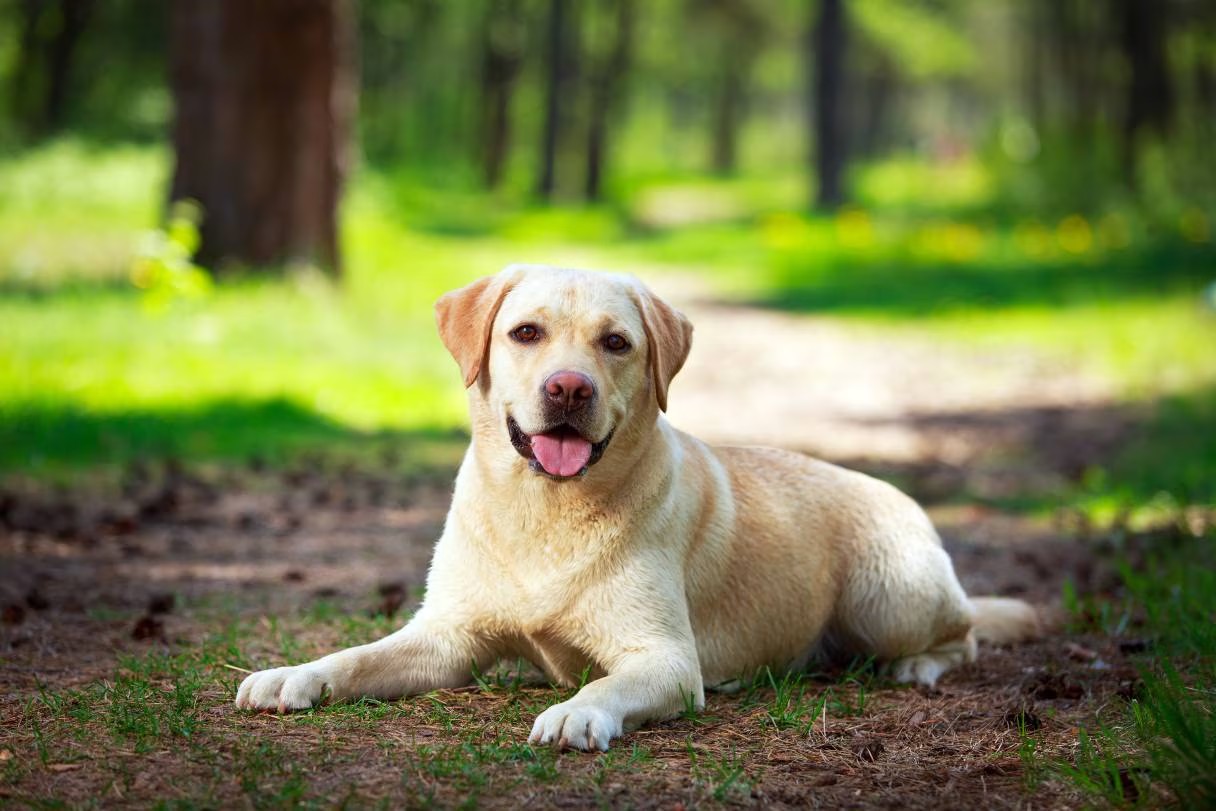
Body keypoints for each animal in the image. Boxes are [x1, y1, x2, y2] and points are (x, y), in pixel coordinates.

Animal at [234, 265, 1036, 748]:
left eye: (615, 342)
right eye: (525, 332)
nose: (568, 388)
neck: (545, 512)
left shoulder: (665, 658)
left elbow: (609, 680)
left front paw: (577, 709)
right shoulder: (446, 637)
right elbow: (358, 655)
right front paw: (294, 673)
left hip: (888, 598)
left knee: (963, 635)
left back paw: (918, 667)